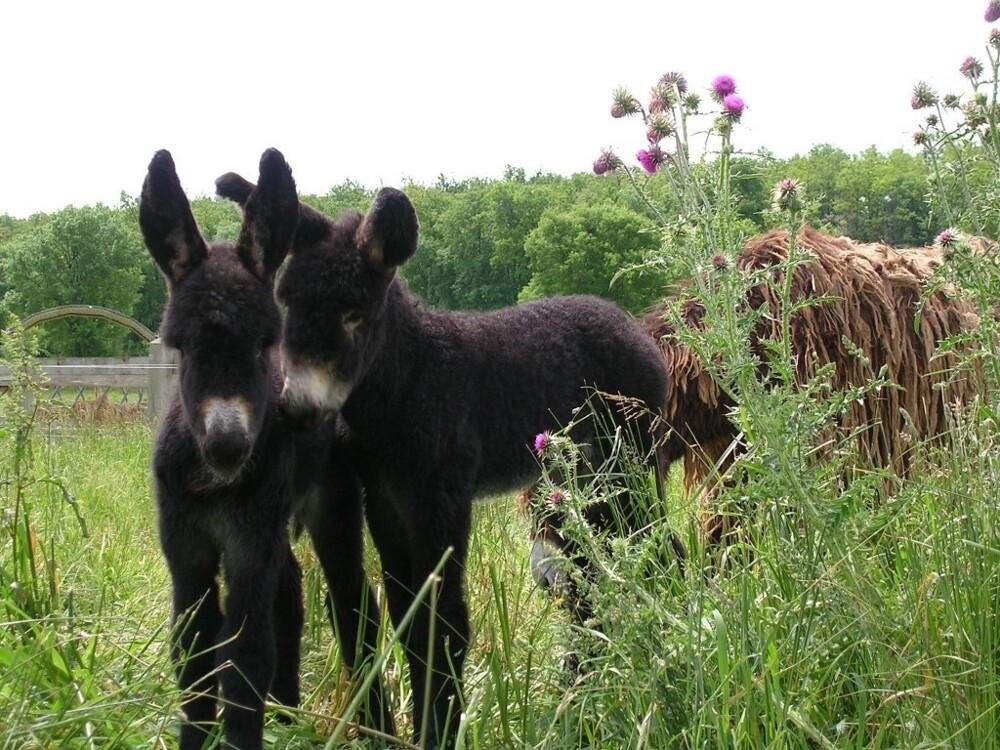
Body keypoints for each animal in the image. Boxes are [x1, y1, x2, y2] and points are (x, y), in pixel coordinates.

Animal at [219, 167, 672, 748]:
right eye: (287, 306)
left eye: (353, 315)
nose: (296, 411)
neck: (408, 379)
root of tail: (628, 322)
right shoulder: (385, 501)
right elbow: (408, 621)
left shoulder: (441, 497)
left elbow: (445, 624)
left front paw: (437, 731)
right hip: (583, 481)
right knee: (598, 571)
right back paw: (588, 686)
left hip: (628, 464)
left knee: (654, 551)